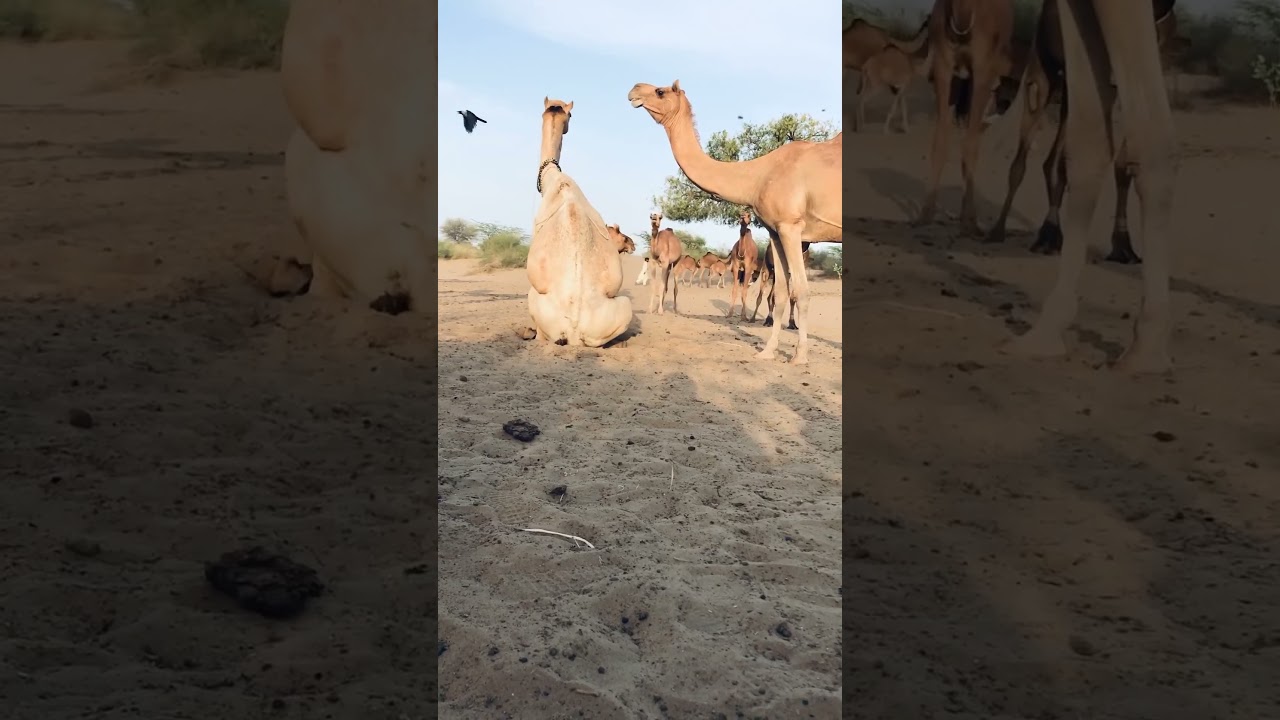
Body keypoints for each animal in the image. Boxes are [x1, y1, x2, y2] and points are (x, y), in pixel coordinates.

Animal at [629, 80, 841, 365]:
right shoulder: (775, 231)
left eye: (660, 92)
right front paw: (768, 351)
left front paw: (799, 357)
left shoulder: (792, 226)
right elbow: (781, 293)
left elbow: (802, 291)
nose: (634, 90)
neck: (758, 175)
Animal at [915, 0, 1015, 235]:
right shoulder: (948, 65)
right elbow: (945, 141)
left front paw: (968, 222)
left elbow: (965, 145)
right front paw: (926, 215)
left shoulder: (978, 68)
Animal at [985, 0, 1180, 264]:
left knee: (1050, 159)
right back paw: (1000, 231)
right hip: (1044, 69)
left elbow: (1124, 165)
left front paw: (1123, 246)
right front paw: (1048, 235)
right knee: (1024, 157)